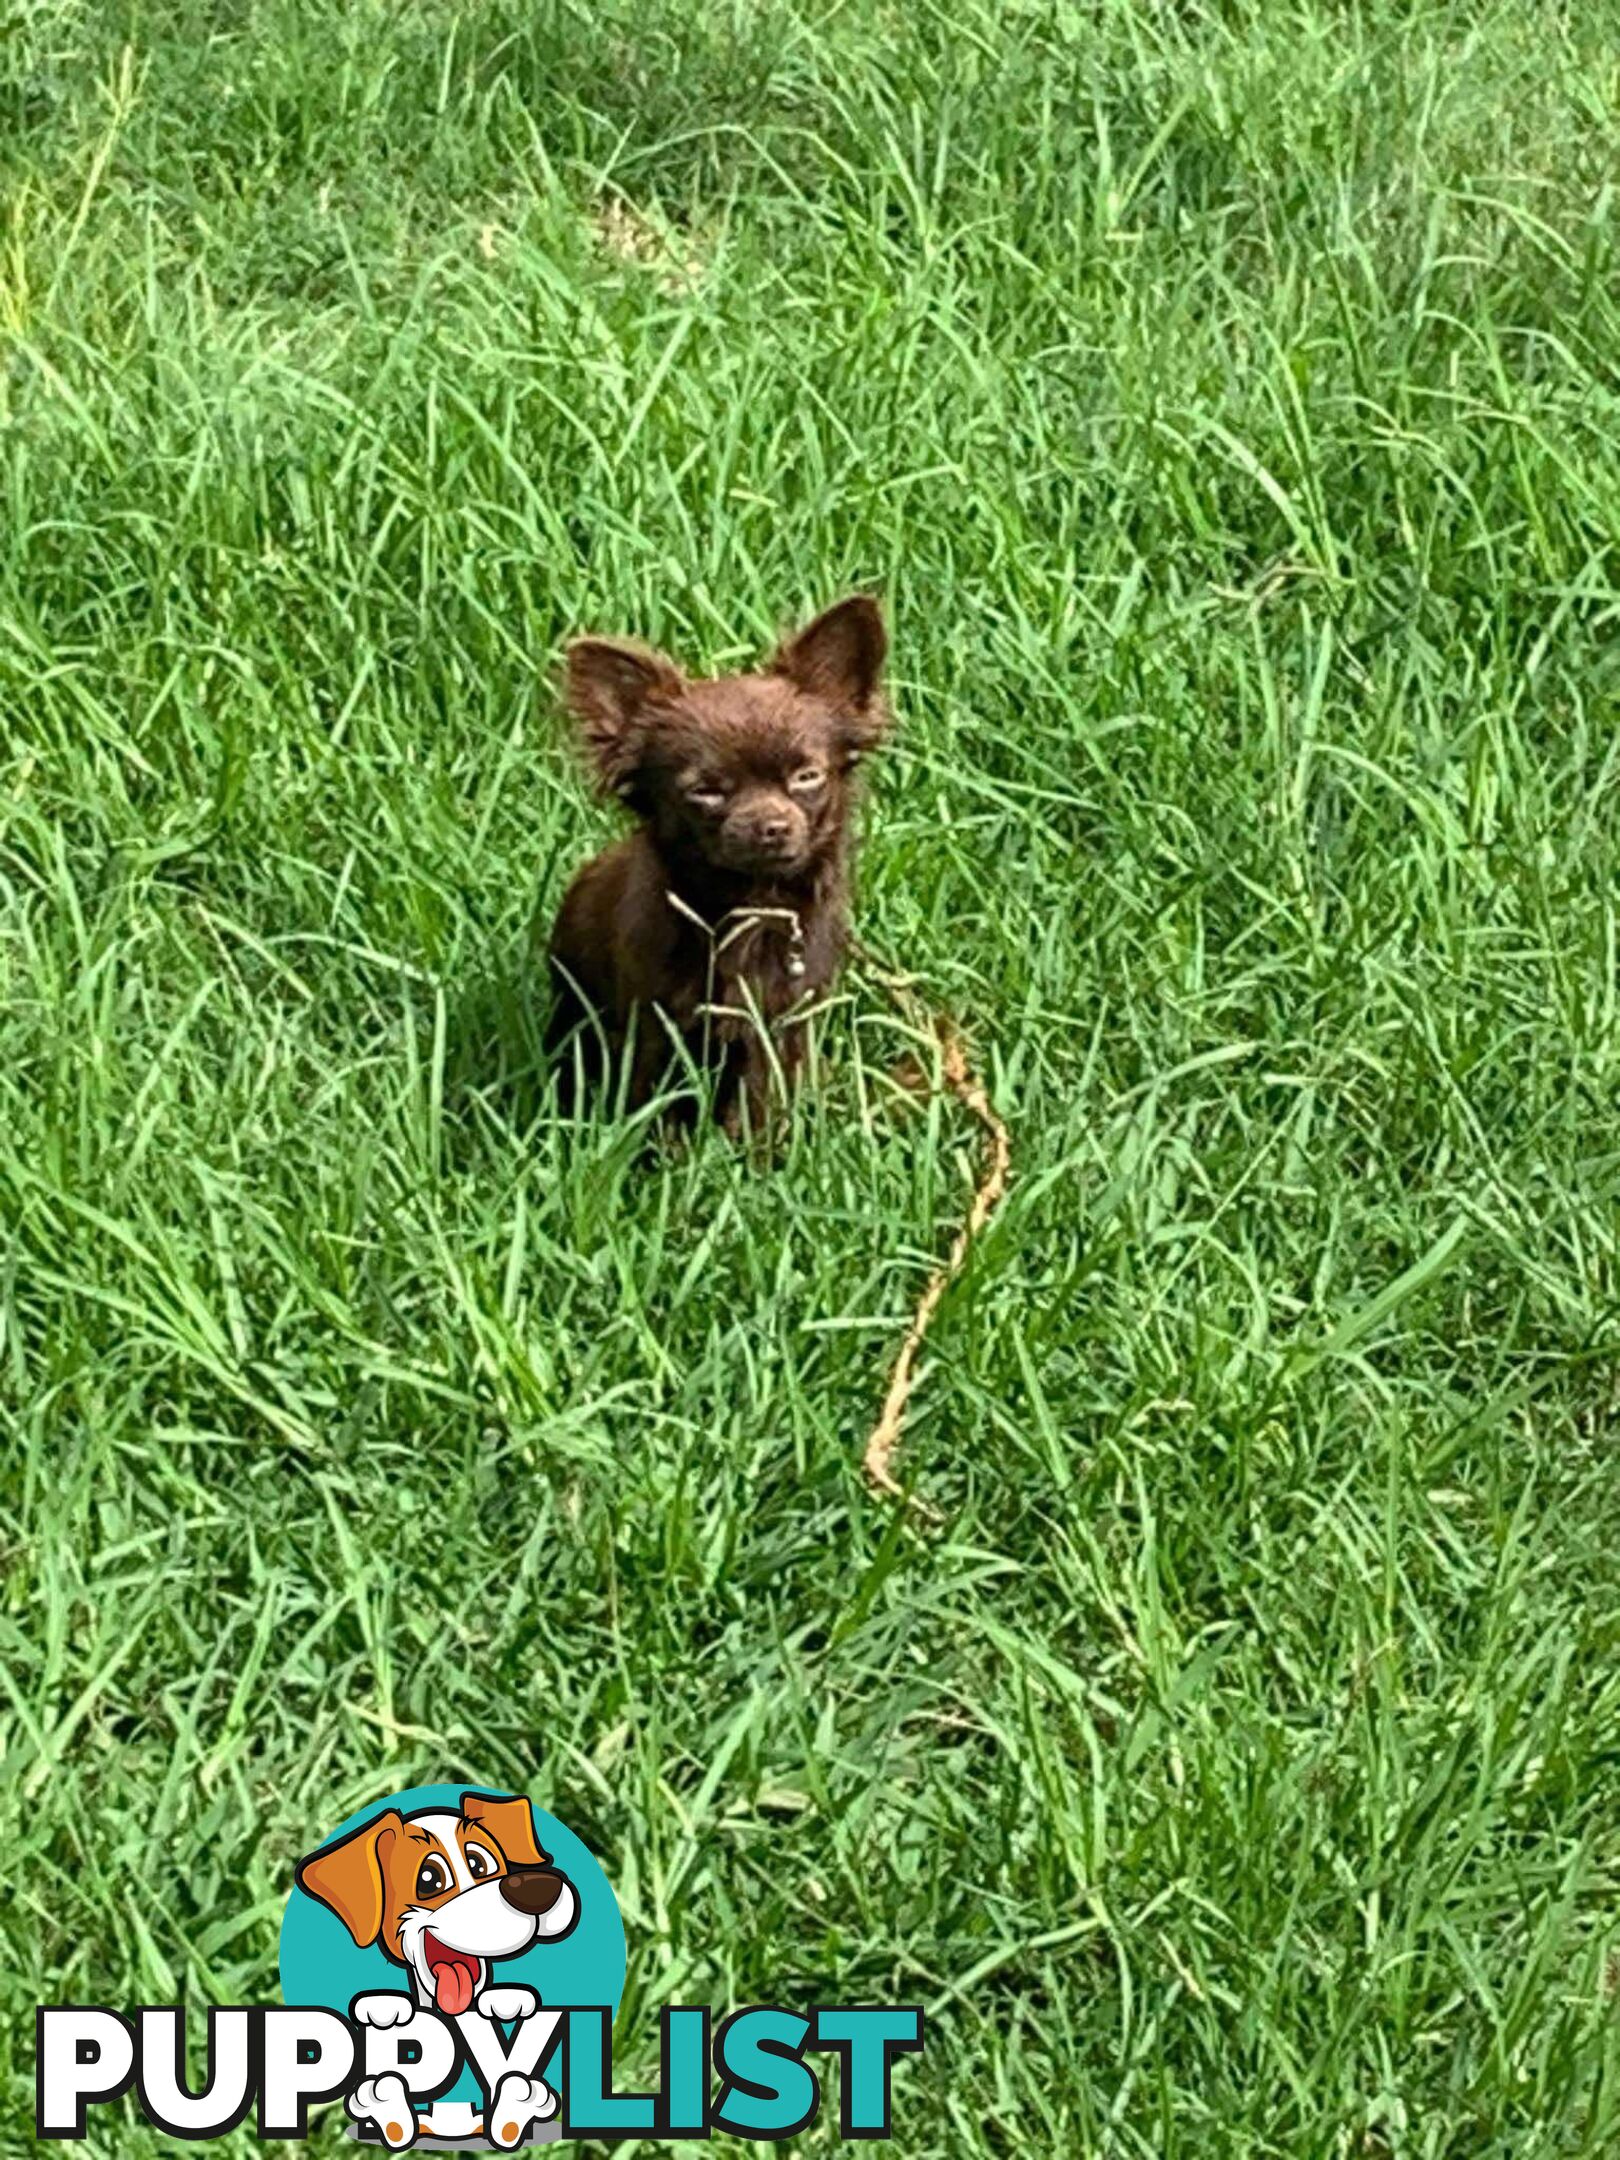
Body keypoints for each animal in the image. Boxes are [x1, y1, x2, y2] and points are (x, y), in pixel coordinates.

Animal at [552, 596, 894, 1131]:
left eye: (806, 777)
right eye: (706, 792)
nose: (771, 825)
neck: (750, 907)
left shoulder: (777, 1028)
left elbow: (760, 1103)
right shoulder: (657, 1025)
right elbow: (656, 1103)